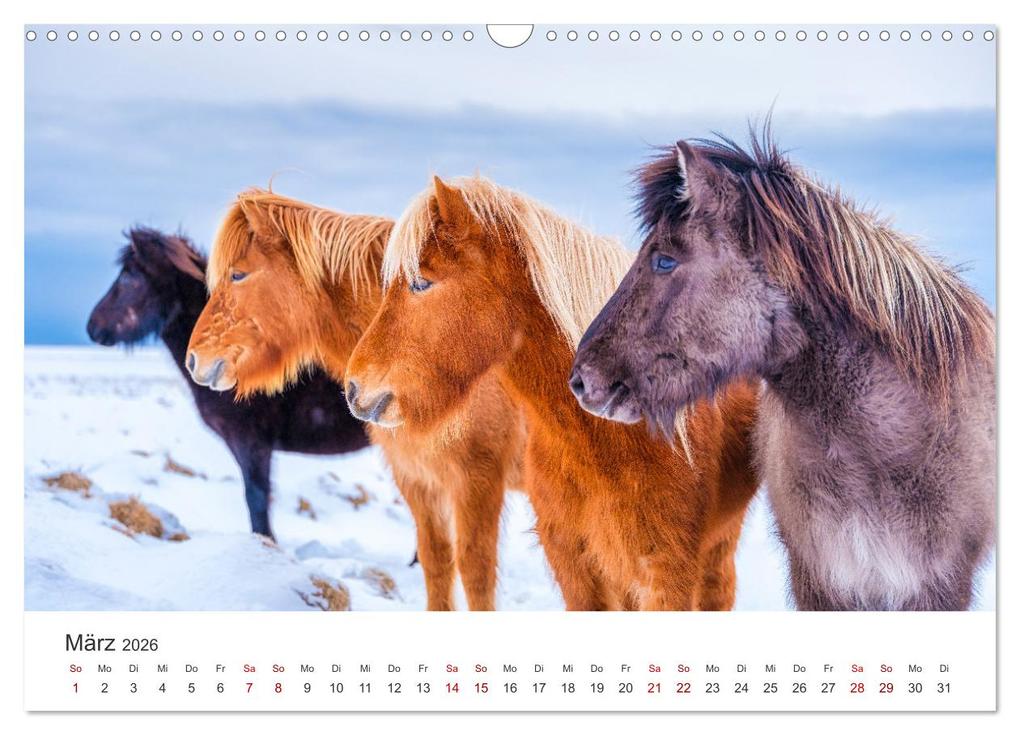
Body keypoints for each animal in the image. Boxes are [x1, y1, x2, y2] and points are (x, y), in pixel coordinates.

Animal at [184, 190, 524, 611]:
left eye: (238, 274)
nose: (194, 359)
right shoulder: (417, 479)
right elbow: (436, 562)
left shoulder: (478, 479)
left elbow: (476, 572)